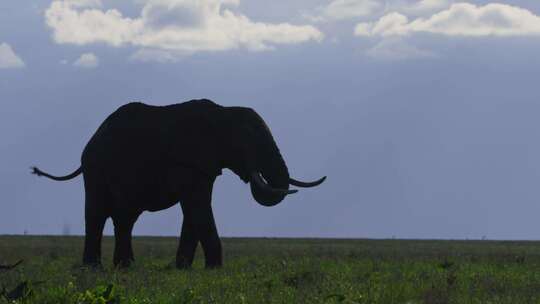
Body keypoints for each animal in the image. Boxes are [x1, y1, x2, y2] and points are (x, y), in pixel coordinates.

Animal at [32, 99, 324, 268]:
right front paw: (214, 269)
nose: (256, 173)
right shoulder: (190, 161)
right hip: (97, 168)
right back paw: (96, 267)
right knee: (98, 213)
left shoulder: (204, 166)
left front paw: (183, 268)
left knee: (124, 217)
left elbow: (195, 210)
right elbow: (197, 206)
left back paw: (124, 266)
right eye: (249, 141)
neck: (223, 113)